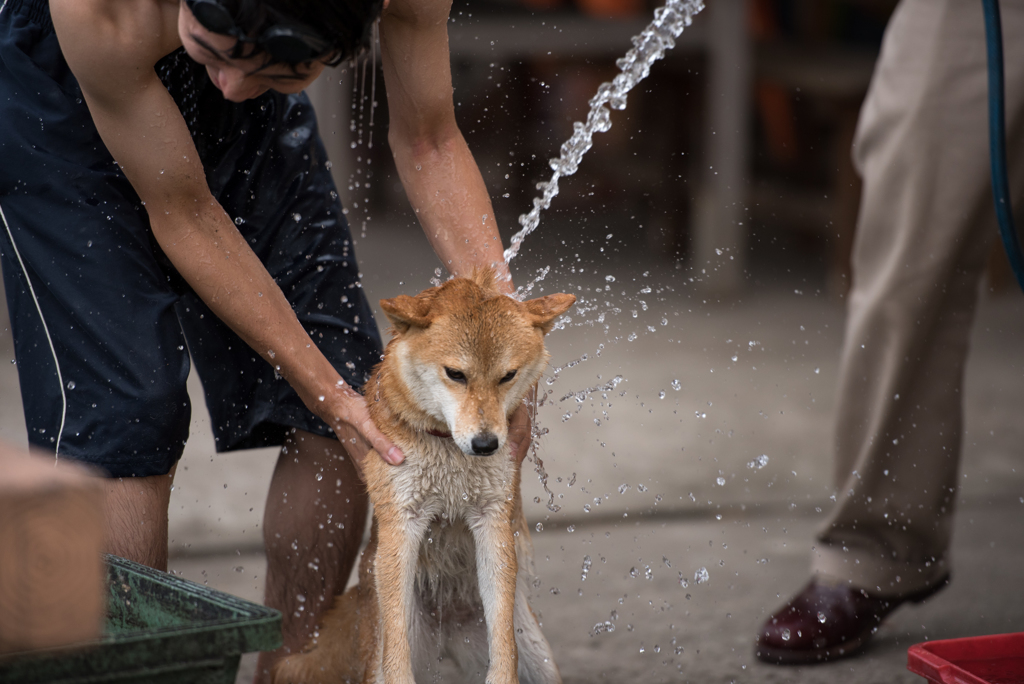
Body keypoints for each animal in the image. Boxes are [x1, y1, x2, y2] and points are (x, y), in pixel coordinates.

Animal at [272, 270, 577, 684]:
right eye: (456, 374)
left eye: (508, 376)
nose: (486, 444)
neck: (448, 450)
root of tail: (447, 628)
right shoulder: (404, 523)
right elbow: (397, 650)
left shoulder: (492, 519)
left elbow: (503, 642)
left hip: (539, 662)